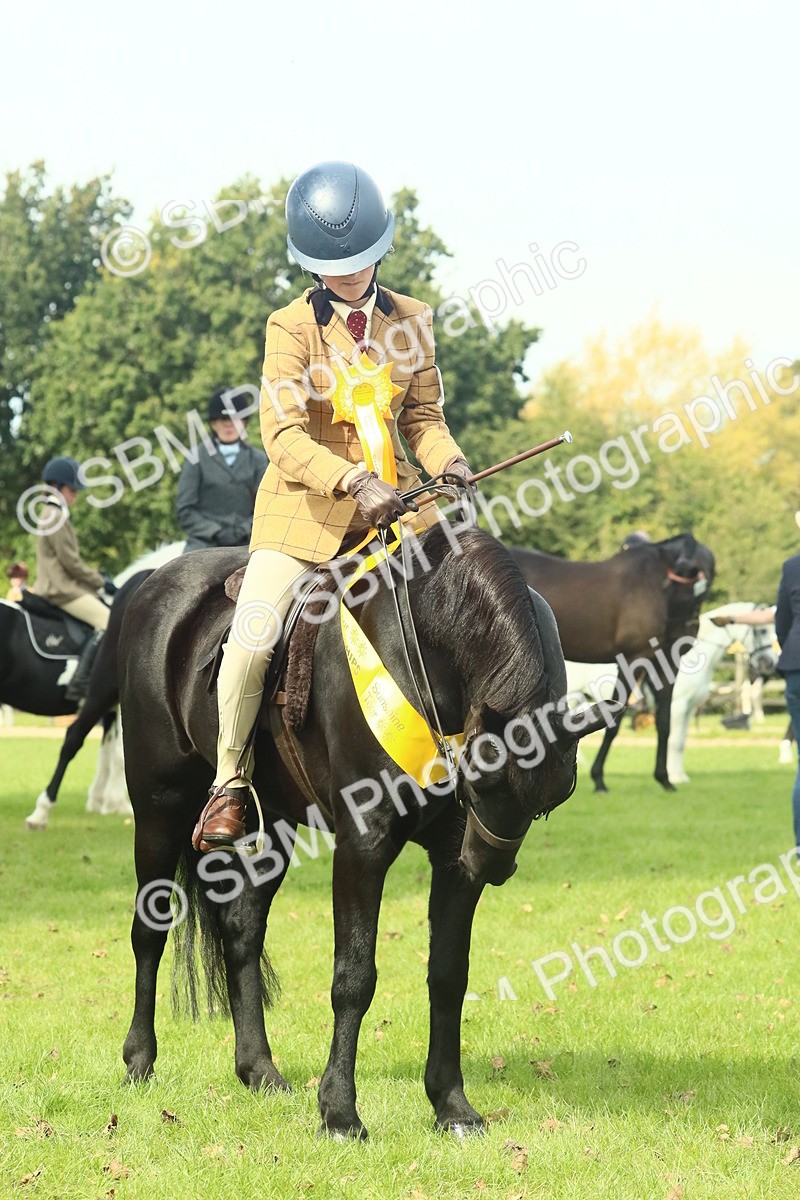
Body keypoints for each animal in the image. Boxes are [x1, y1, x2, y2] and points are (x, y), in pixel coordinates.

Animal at [118, 523, 612, 1138]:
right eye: (488, 780)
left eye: (552, 799)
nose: (492, 866)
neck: (426, 646)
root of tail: (155, 586)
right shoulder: (363, 844)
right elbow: (353, 977)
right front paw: (339, 1112)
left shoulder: (452, 857)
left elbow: (448, 975)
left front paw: (452, 1105)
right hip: (158, 810)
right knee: (149, 930)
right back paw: (140, 1059)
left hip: (274, 825)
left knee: (242, 929)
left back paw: (260, 1070)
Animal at [508, 533, 715, 791]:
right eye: (690, 581)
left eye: (705, 589)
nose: (688, 630)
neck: (657, 582)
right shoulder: (632, 659)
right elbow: (613, 718)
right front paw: (598, 779)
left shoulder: (666, 663)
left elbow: (664, 721)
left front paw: (664, 778)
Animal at [667, 603, 778, 783]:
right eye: (762, 631)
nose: (771, 662)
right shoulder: (677, 705)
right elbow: (674, 740)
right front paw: (674, 778)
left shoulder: (689, 707)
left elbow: (681, 741)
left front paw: (680, 776)